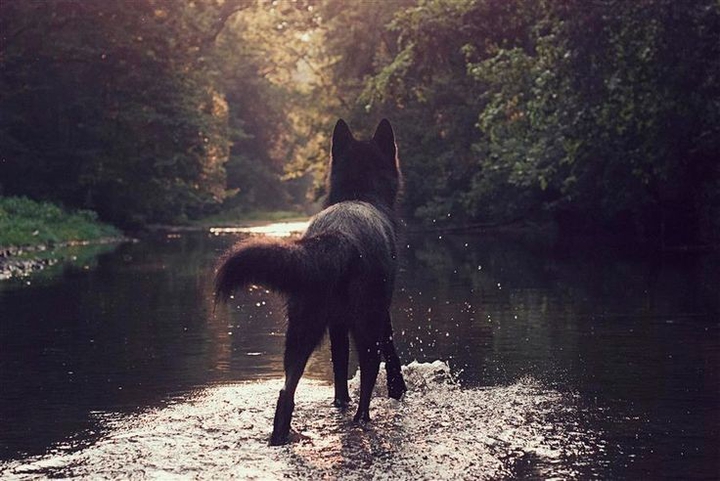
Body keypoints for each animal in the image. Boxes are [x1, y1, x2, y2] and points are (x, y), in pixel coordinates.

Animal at [214, 119, 407, 445]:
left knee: (285, 395)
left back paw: (281, 437)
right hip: (364, 327)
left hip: (301, 331)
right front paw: (397, 389)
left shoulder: (337, 326)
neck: (360, 194)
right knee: (367, 381)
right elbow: (390, 351)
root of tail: (339, 235)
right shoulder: (382, 314)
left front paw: (340, 401)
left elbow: (339, 367)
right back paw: (362, 420)